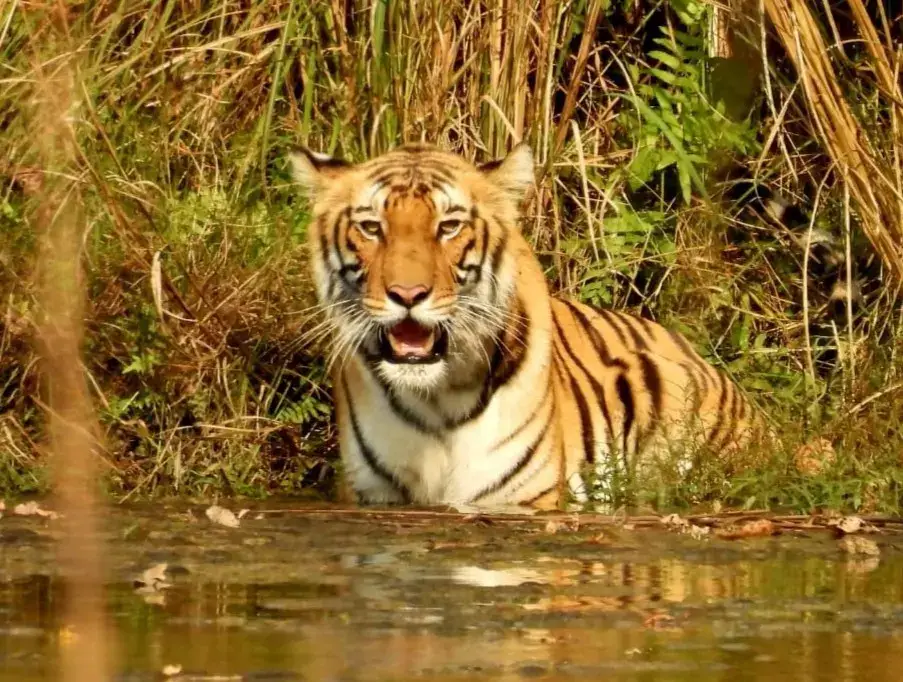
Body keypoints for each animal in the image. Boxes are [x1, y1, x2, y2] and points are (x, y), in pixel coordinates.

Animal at [289, 142, 765, 510]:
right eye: (372, 227)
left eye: (449, 226)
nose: (408, 295)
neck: (435, 400)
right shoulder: (369, 494)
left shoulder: (523, 498)